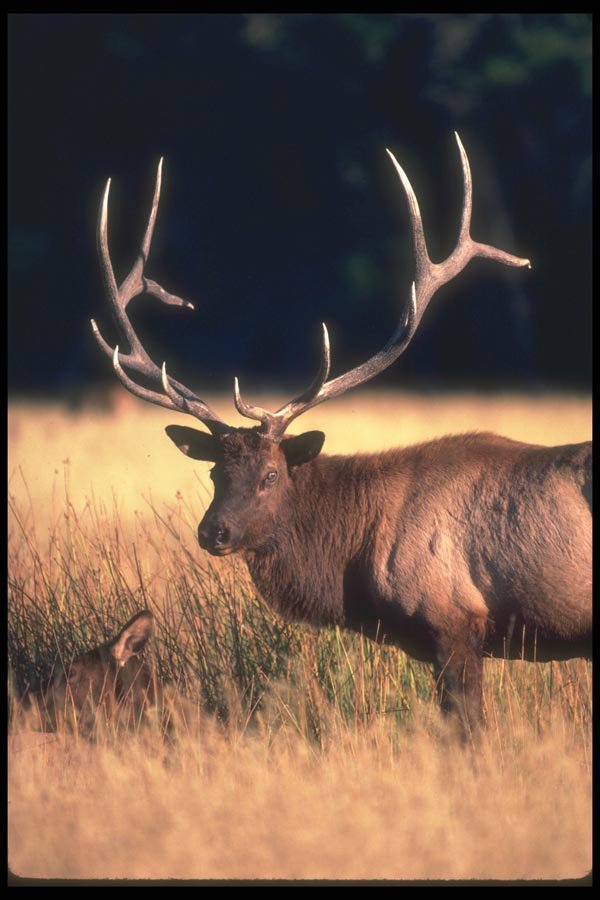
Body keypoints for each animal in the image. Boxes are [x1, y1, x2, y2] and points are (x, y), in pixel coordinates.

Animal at [90, 134, 592, 734]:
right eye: (214, 472)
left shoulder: (454, 624)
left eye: (271, 474)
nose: (214, 531)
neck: (355, 557)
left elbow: (467, 730)